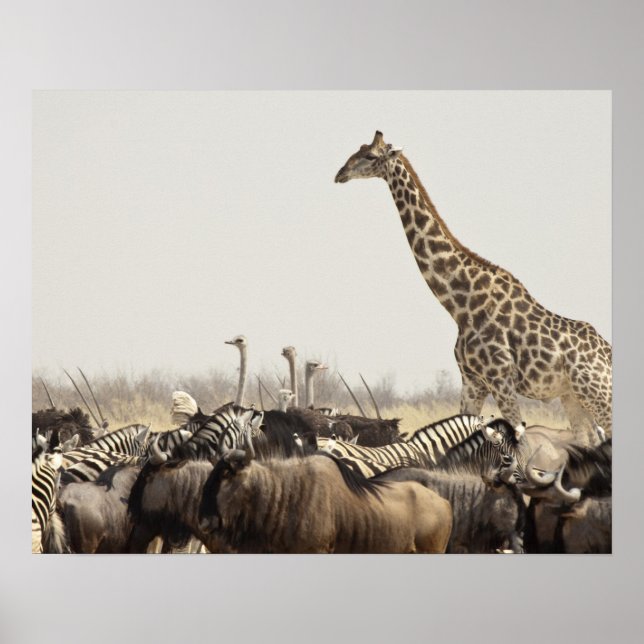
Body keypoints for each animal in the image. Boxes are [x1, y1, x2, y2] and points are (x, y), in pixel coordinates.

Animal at [335, 131, 612, 443]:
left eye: (370, 156)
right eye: (357, 149)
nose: (340, 174)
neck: (461, 305)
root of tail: (608, 354)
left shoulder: (500, 379)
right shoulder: (472, 381)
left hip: (598, 394)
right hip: (572, 396)